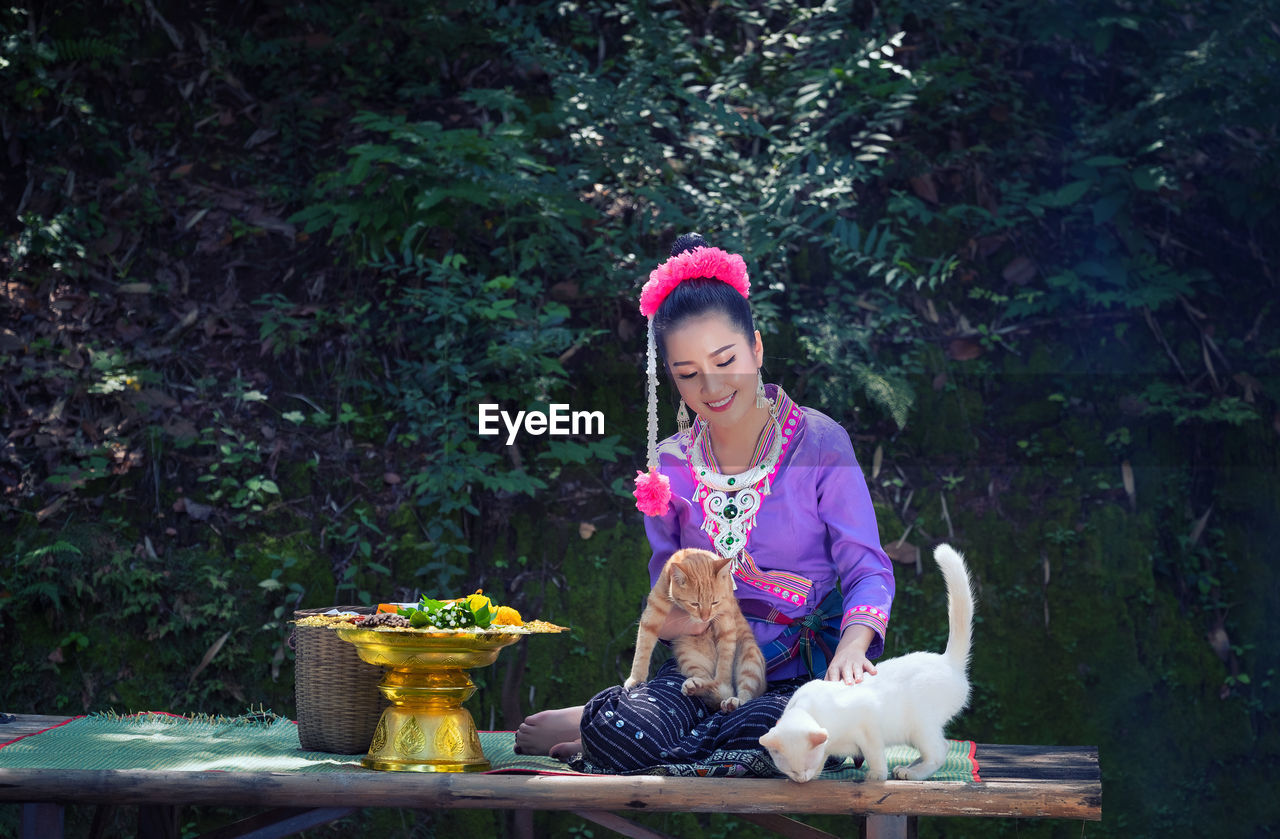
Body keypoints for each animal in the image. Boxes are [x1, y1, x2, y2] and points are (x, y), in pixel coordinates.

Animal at [624, 548, 762, 712]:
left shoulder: (726, 623)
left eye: (714, 602)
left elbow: (725, 663)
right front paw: (636, 679)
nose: (705, 618)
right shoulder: (652, 615)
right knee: (710, 686)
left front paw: (725, 684)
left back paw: (732, 701)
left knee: (745, 694)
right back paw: (696, 687)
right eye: (694, 604)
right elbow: (641, 651)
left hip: (749, 656)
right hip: (688, 655)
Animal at [757, 540, 967, 783]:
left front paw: (876, 776)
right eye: (791, 770)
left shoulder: (868, 722)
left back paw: (911, 772)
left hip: (920, 726)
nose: (802, 779)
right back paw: (909, 766)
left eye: (804, 767)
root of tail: (949, 661)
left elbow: (874, 753)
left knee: (940, 751)